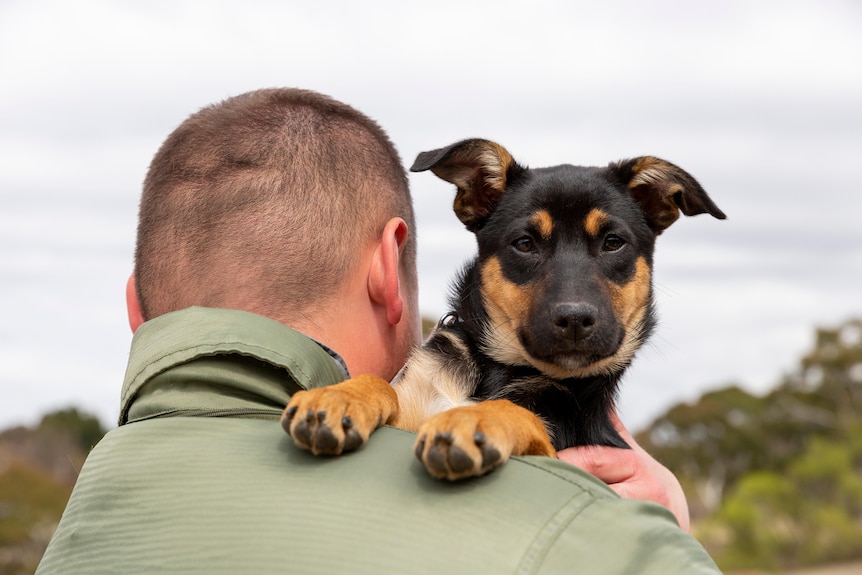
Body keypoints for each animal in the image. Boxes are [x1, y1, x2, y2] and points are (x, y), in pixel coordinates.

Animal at [282, 140, 724, 482]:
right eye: (525, 244)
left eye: (613, 243)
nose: (575, 319)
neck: (499, 369)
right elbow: (383, 384)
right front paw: (340, 396)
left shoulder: (561, 453)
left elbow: (516, 411)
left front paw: (473, 420)